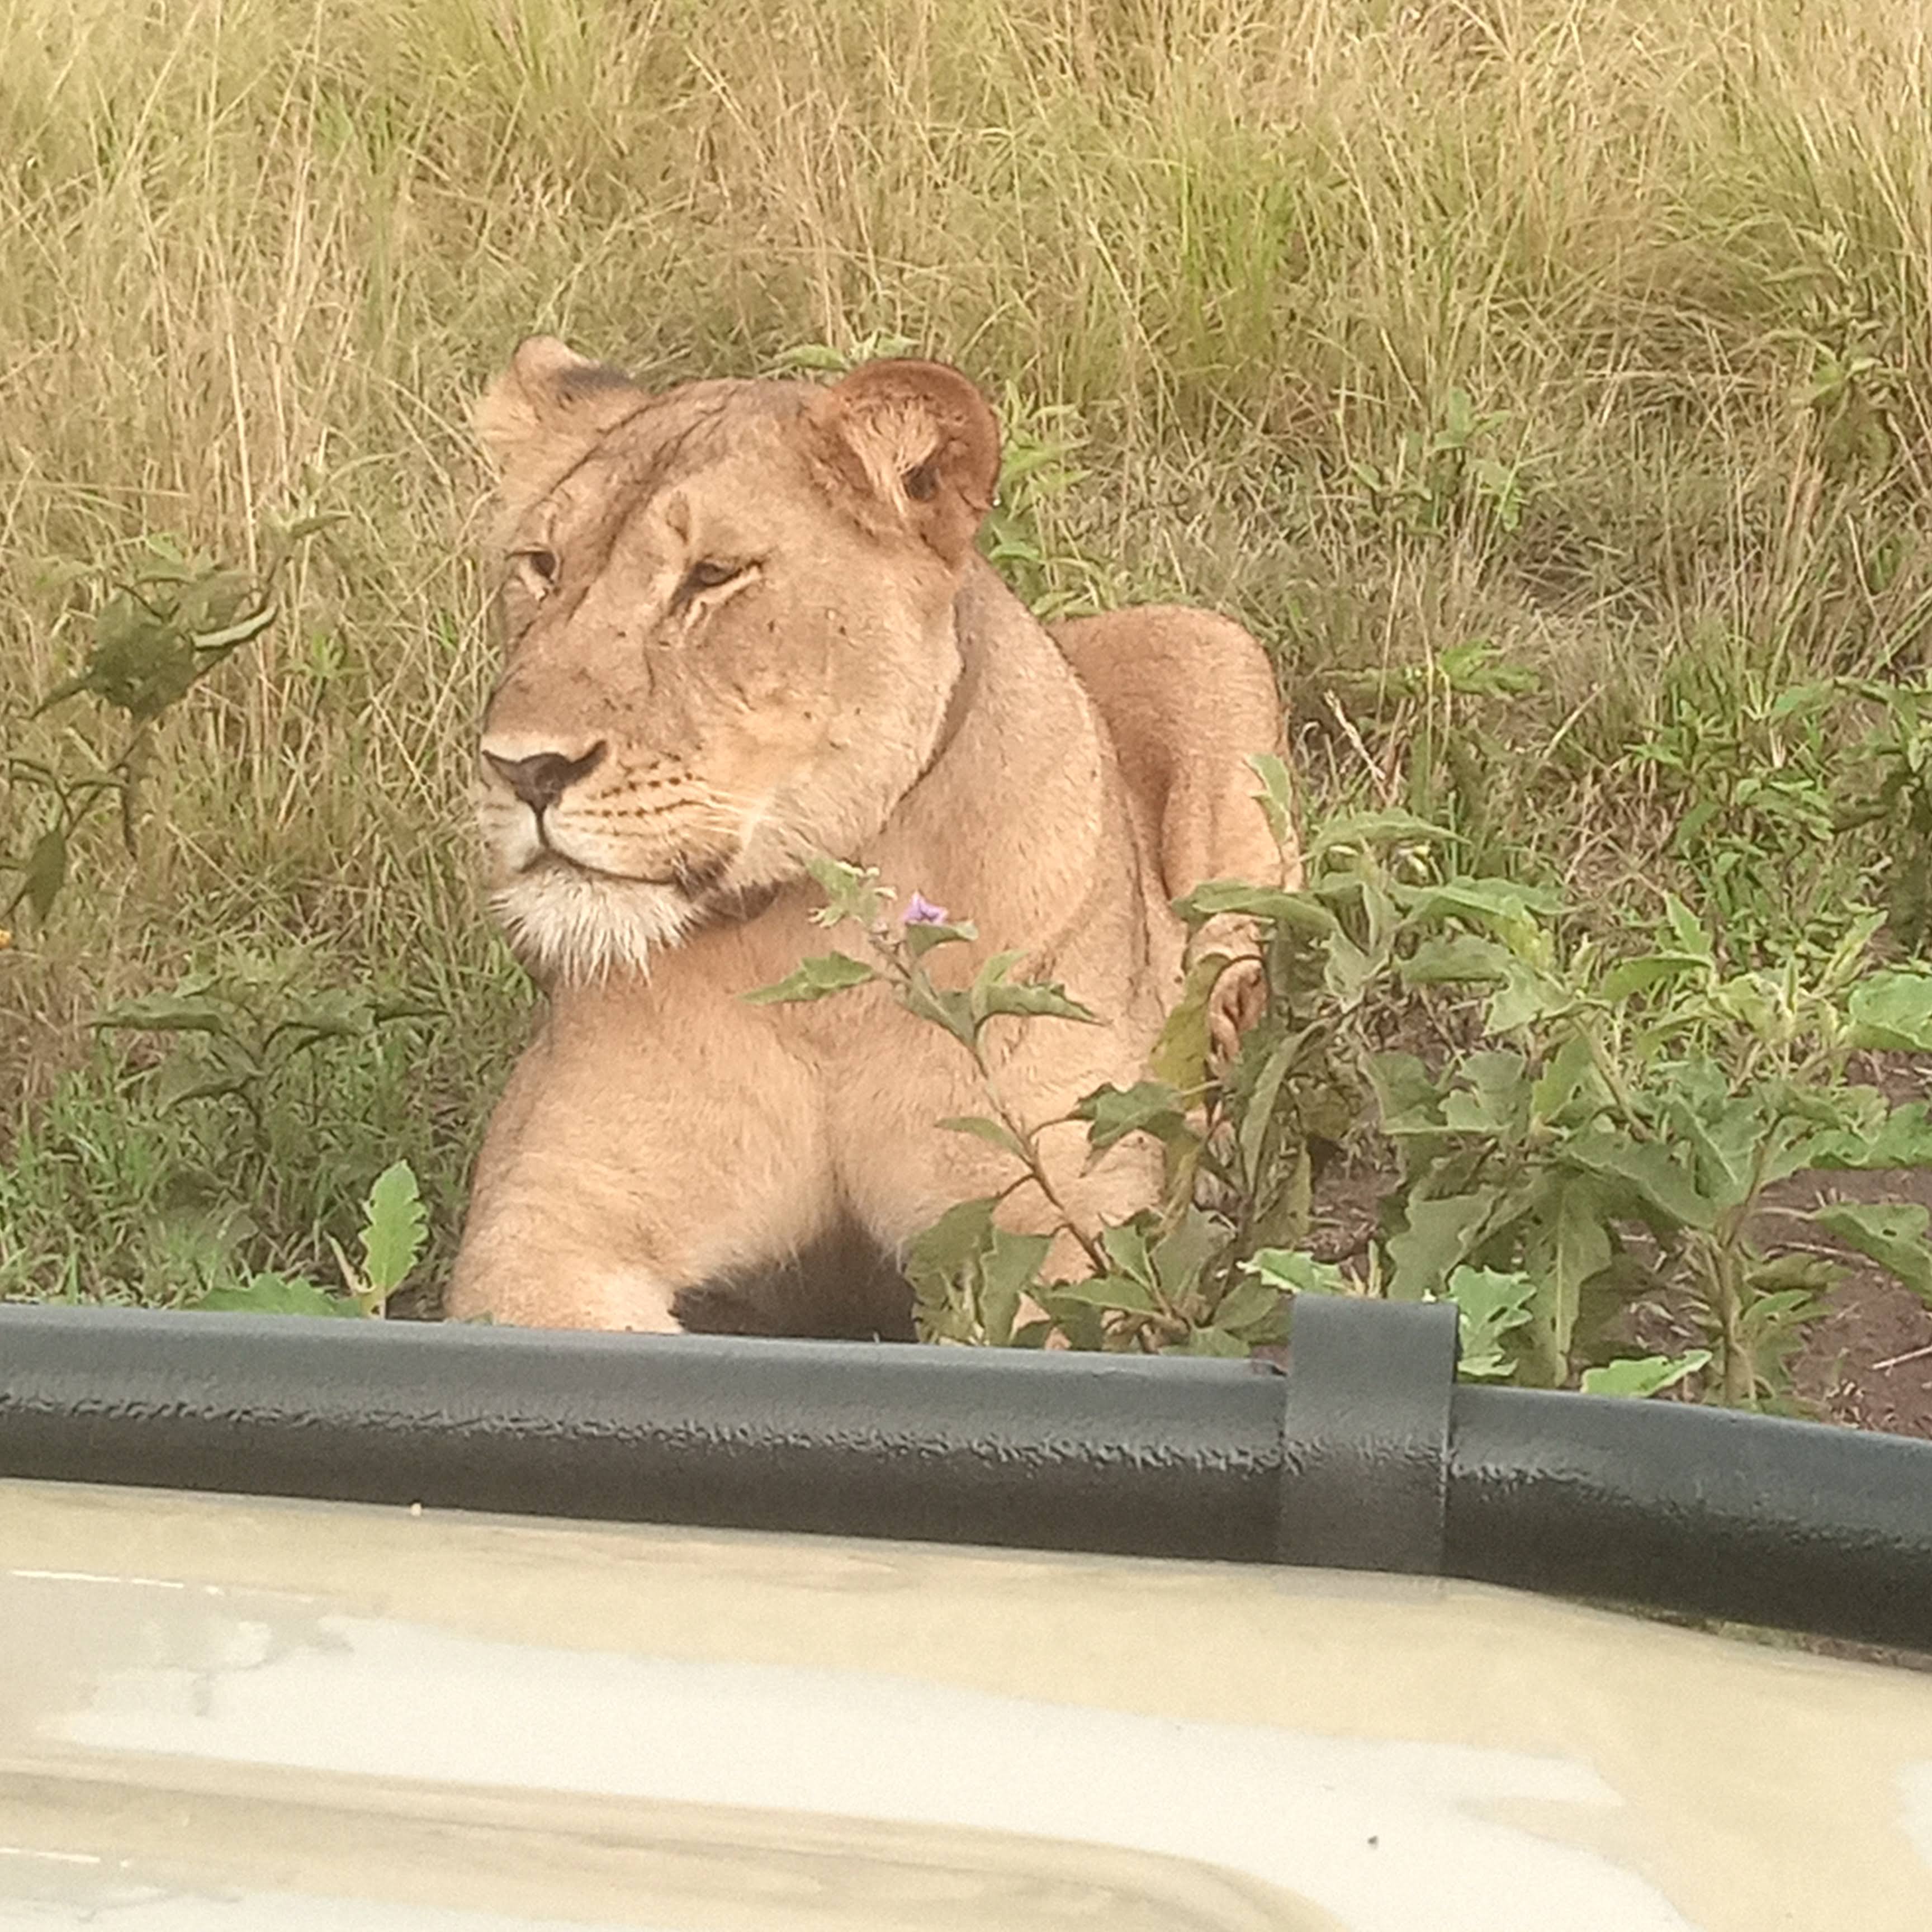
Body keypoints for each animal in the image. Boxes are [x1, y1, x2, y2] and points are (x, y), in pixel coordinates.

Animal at [445, 339, 1300, 1335]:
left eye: (713, 576)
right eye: (541, 564)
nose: (523, 769)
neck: (820, 969)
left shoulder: (1067, 1215)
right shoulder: (545, 1217)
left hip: (1211, 647)